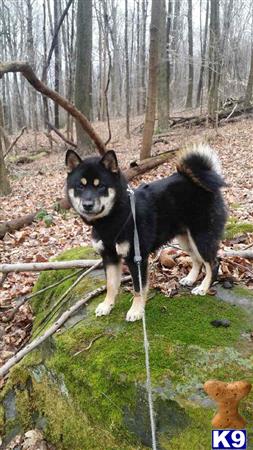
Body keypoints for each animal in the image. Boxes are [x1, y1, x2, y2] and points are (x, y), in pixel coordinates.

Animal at [65, 144, 227, 320]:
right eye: (80, 186)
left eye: (100, 186)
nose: (87, 205)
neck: (112, 219)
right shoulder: (109, 257)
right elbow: (111, 285)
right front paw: (107, 305)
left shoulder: (137, 258)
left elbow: (138, 288)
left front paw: (136, 311)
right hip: (186, 239)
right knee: (197, 260)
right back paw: (190, 279)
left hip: (201, 237)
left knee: (213, 263)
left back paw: (203, 288)